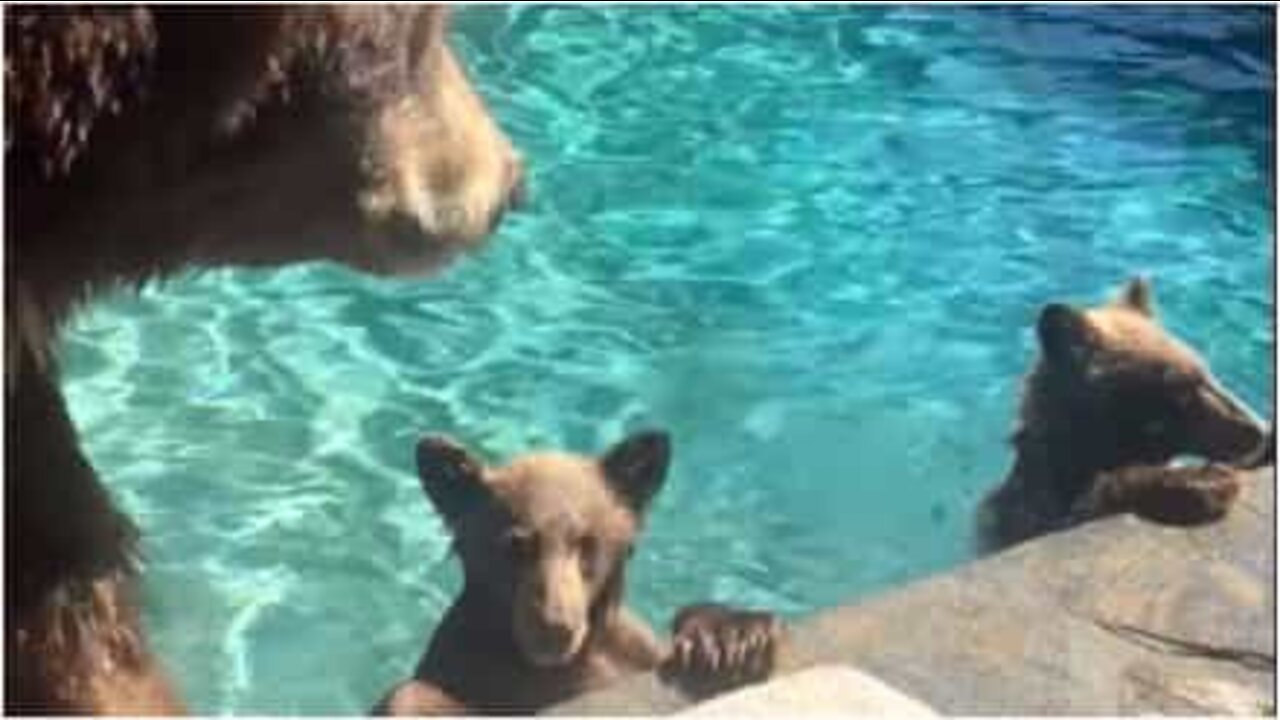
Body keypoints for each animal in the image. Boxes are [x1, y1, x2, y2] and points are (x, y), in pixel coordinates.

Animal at [373, 427, 783, 707]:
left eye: (587, 543)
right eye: (515, 545)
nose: (554, 627)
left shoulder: (627, 655)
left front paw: (732, 639)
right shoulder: (466, 667)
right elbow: (412, 695)